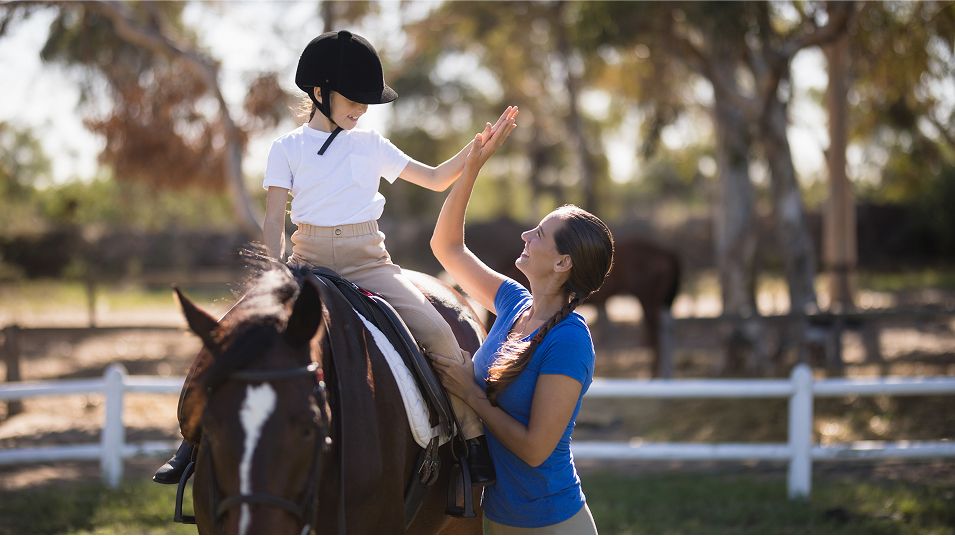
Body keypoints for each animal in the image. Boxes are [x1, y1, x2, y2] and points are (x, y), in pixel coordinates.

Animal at [467, 218, 681, 377]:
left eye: (539, 233)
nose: (525, 237)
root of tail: (666, 252)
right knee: (664, 332)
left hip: (647, 300)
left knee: (656, 335)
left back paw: (656, 375)